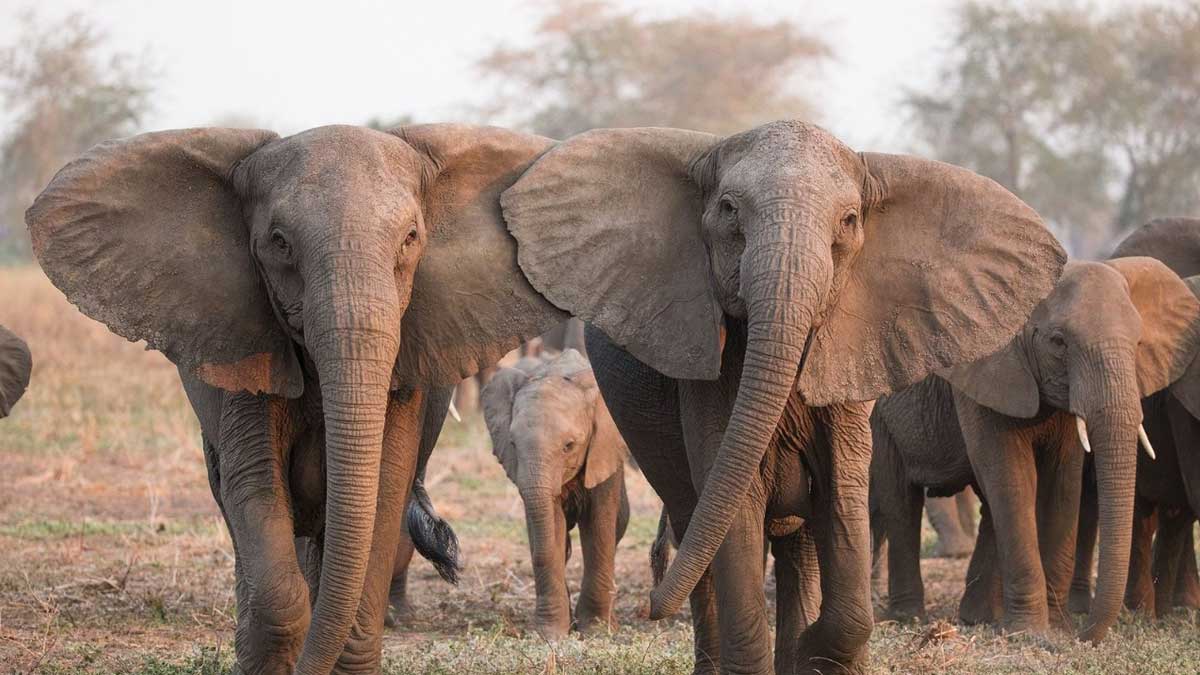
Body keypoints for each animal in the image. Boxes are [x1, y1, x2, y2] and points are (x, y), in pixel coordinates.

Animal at [481, 349, 630, 636]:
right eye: (512, 444)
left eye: (569, 446)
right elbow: (550, 524)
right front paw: (550, 635)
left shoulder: (604, 450)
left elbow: (599, 526)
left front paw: (595, 630)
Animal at [499, 121, 1066, 674]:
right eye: (728, 209)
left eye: (849, 220)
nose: (650, 606)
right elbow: (734, 502)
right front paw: (794, 653)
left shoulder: (850, 355)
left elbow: (842, 493)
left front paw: (817, 651)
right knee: (697, 526)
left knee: (799, 545)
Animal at [870, 258, 1199, 642]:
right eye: (1058, 342)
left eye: (1139, 342)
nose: (1084, 634)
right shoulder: (985, 370)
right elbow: (1011, 477)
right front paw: (1030, 633)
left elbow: (1063, 482)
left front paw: (1056, 627)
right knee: (900, 502)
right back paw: (908, 617)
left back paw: (977, 617)